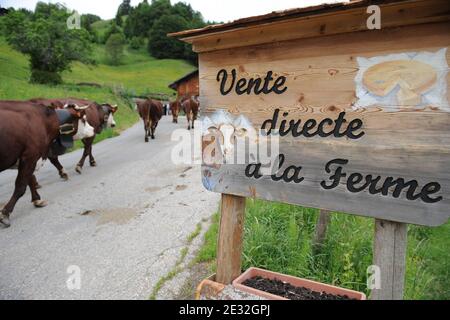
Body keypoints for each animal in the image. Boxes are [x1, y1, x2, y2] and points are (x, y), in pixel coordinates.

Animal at [0, 100, 93, 228]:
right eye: (83, 119)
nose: (93, 129)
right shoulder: (30, 156)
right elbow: (21, 186)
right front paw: (5, 213)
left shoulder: (30, 158)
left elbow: (30, 180)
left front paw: (37, 199)